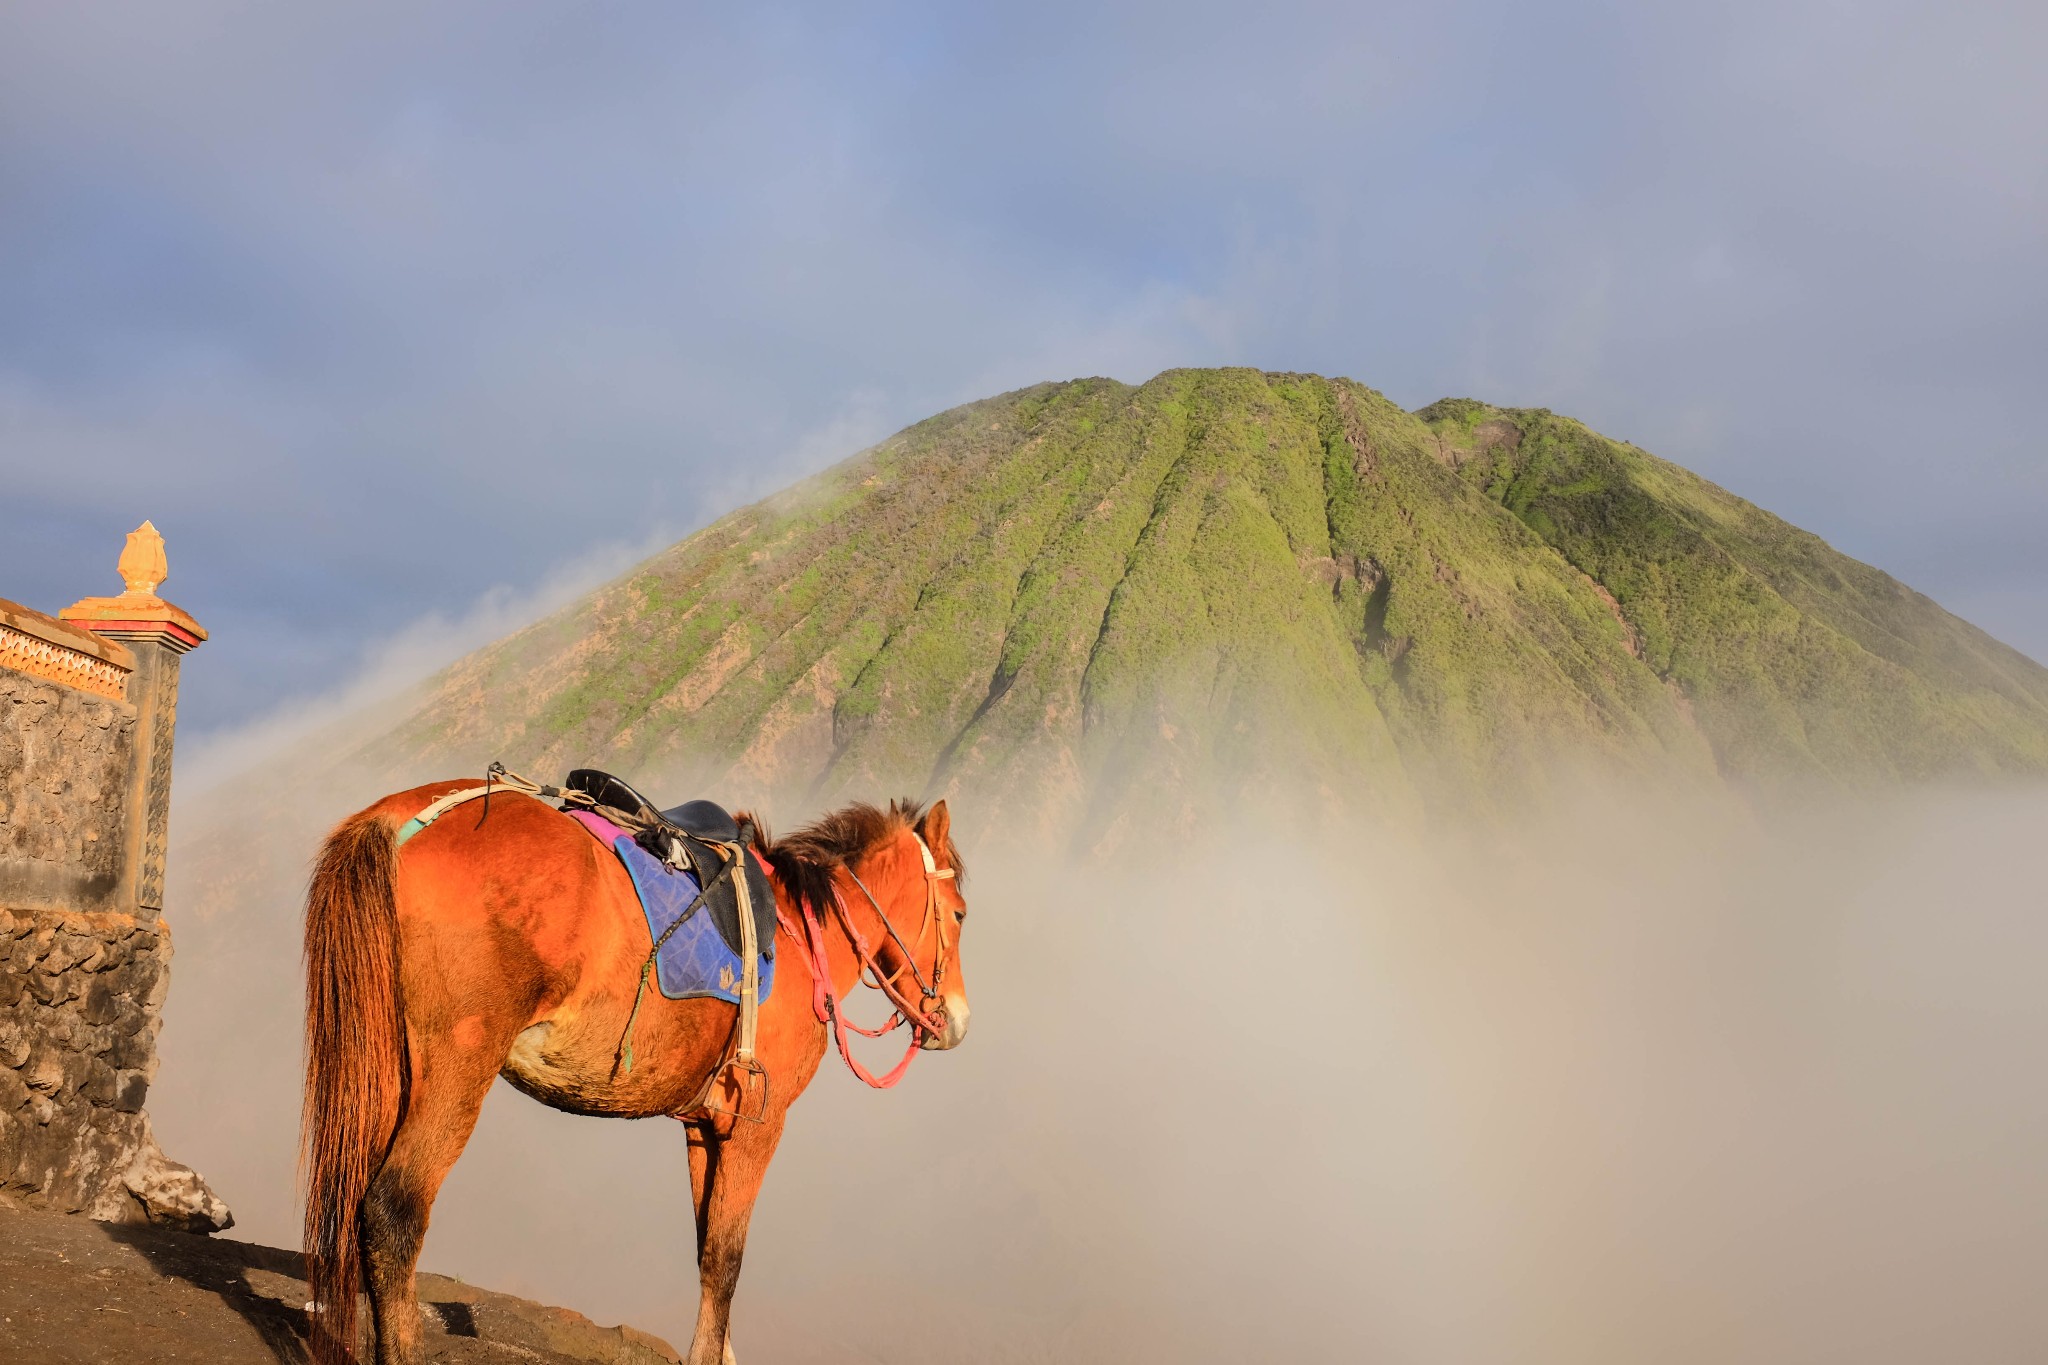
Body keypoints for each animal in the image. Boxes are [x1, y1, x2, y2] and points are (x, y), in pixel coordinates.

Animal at [301, 777, 974, 1365]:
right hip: (458, 1067)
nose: (956, 1021)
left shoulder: (705, 1125)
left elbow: (706, 1247)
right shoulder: (757, 1126)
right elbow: (727, 1258)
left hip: (386, 1068)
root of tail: (397, 818)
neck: (800, 931)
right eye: (962, 913)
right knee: (392, 1211)